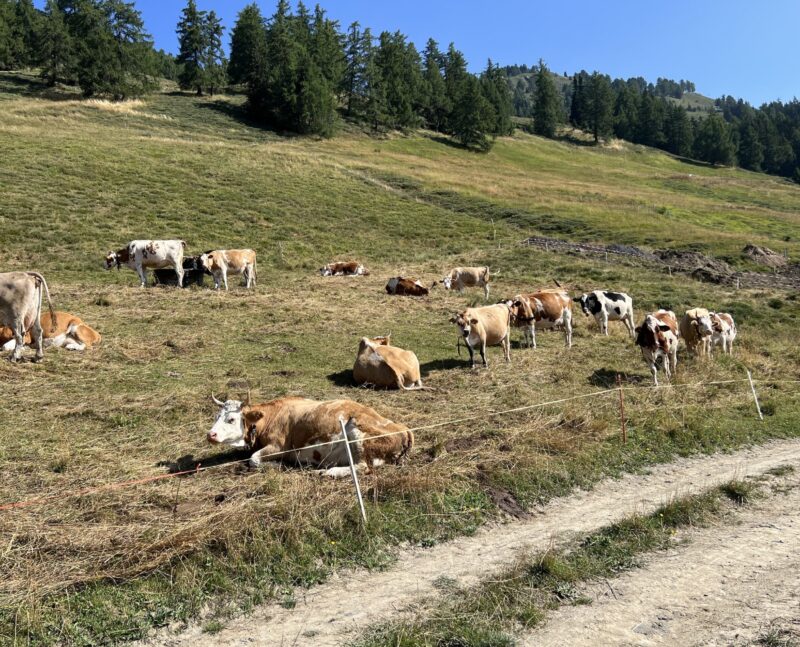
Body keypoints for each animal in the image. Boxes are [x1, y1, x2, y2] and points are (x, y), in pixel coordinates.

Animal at [206, 394, 412, 476]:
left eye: (231, 419)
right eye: (216, 416)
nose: (211, 434)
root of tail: (401, 427)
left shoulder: (278, 447)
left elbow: (254, 459)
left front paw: (278, 465)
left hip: (357, 433)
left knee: (362, 467)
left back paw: (328, 472)